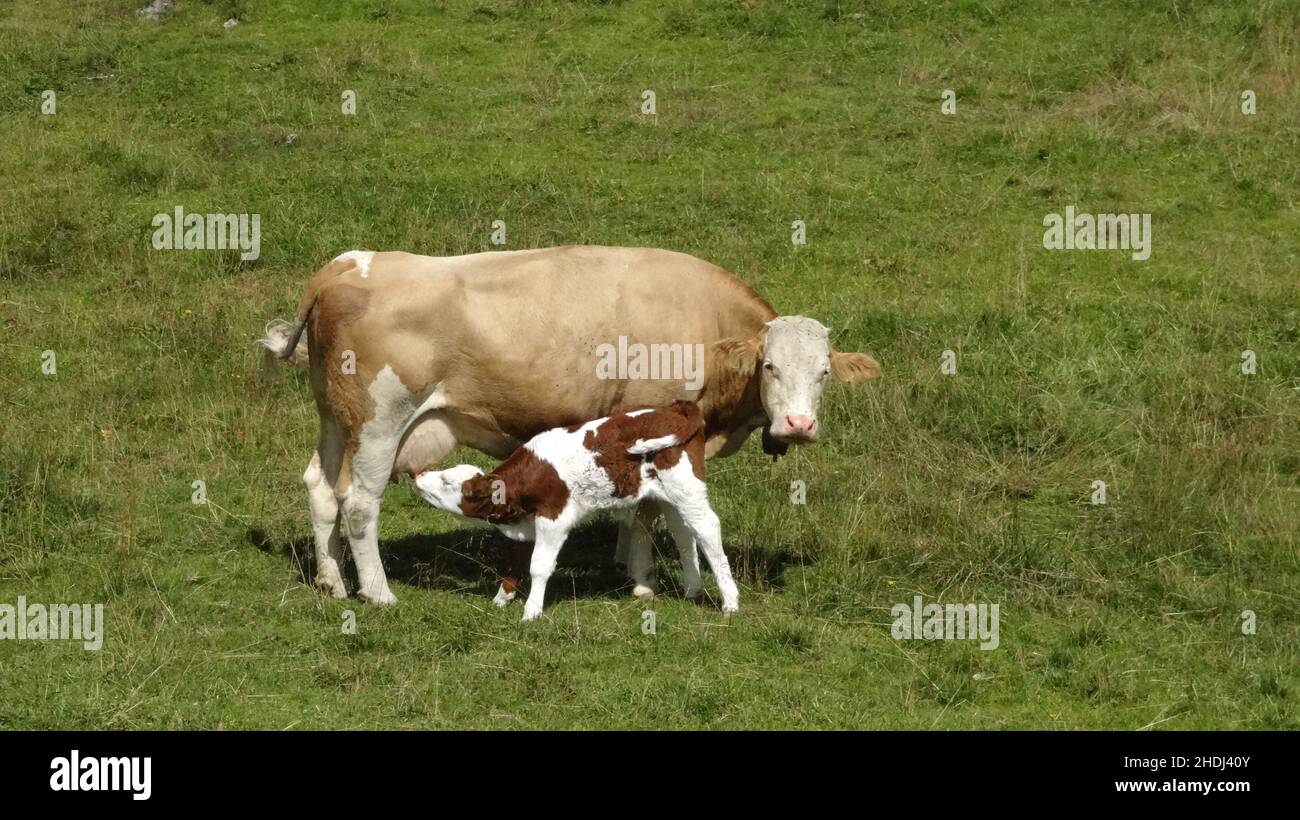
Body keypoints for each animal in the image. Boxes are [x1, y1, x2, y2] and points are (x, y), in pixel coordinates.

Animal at [413, 402, 738, 621]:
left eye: (448, 481)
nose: (419, 474)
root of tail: (674, 408)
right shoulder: (526, 524)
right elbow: (515, 563)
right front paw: (501, 599)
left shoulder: (553, 518)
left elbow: (538, 565)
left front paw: (531, 611)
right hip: (671, 495)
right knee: (685, 534)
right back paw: (693, 590)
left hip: (686, 485)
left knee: (707, 528)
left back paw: (730, 602)